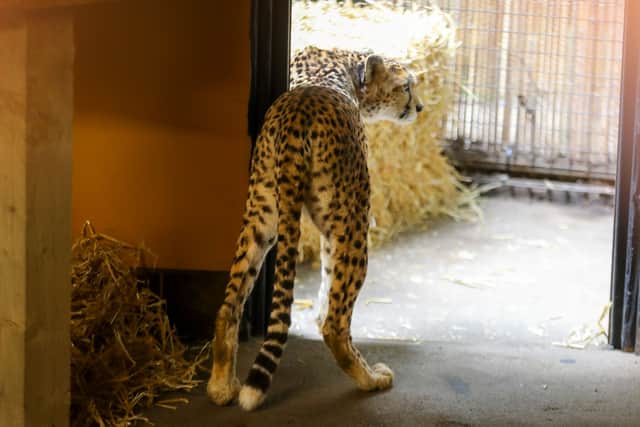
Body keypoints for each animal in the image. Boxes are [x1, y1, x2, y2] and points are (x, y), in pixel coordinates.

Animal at [207, 45, 424, 411]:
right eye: (406, 86)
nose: (419, 107)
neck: (348, 64)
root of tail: (298, 114)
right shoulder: (344, 220)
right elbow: (330, 283)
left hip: (261, 216)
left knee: (229, 305)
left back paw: (221, 386)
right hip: (354, 223)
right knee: (336, 326)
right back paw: (372, 378)